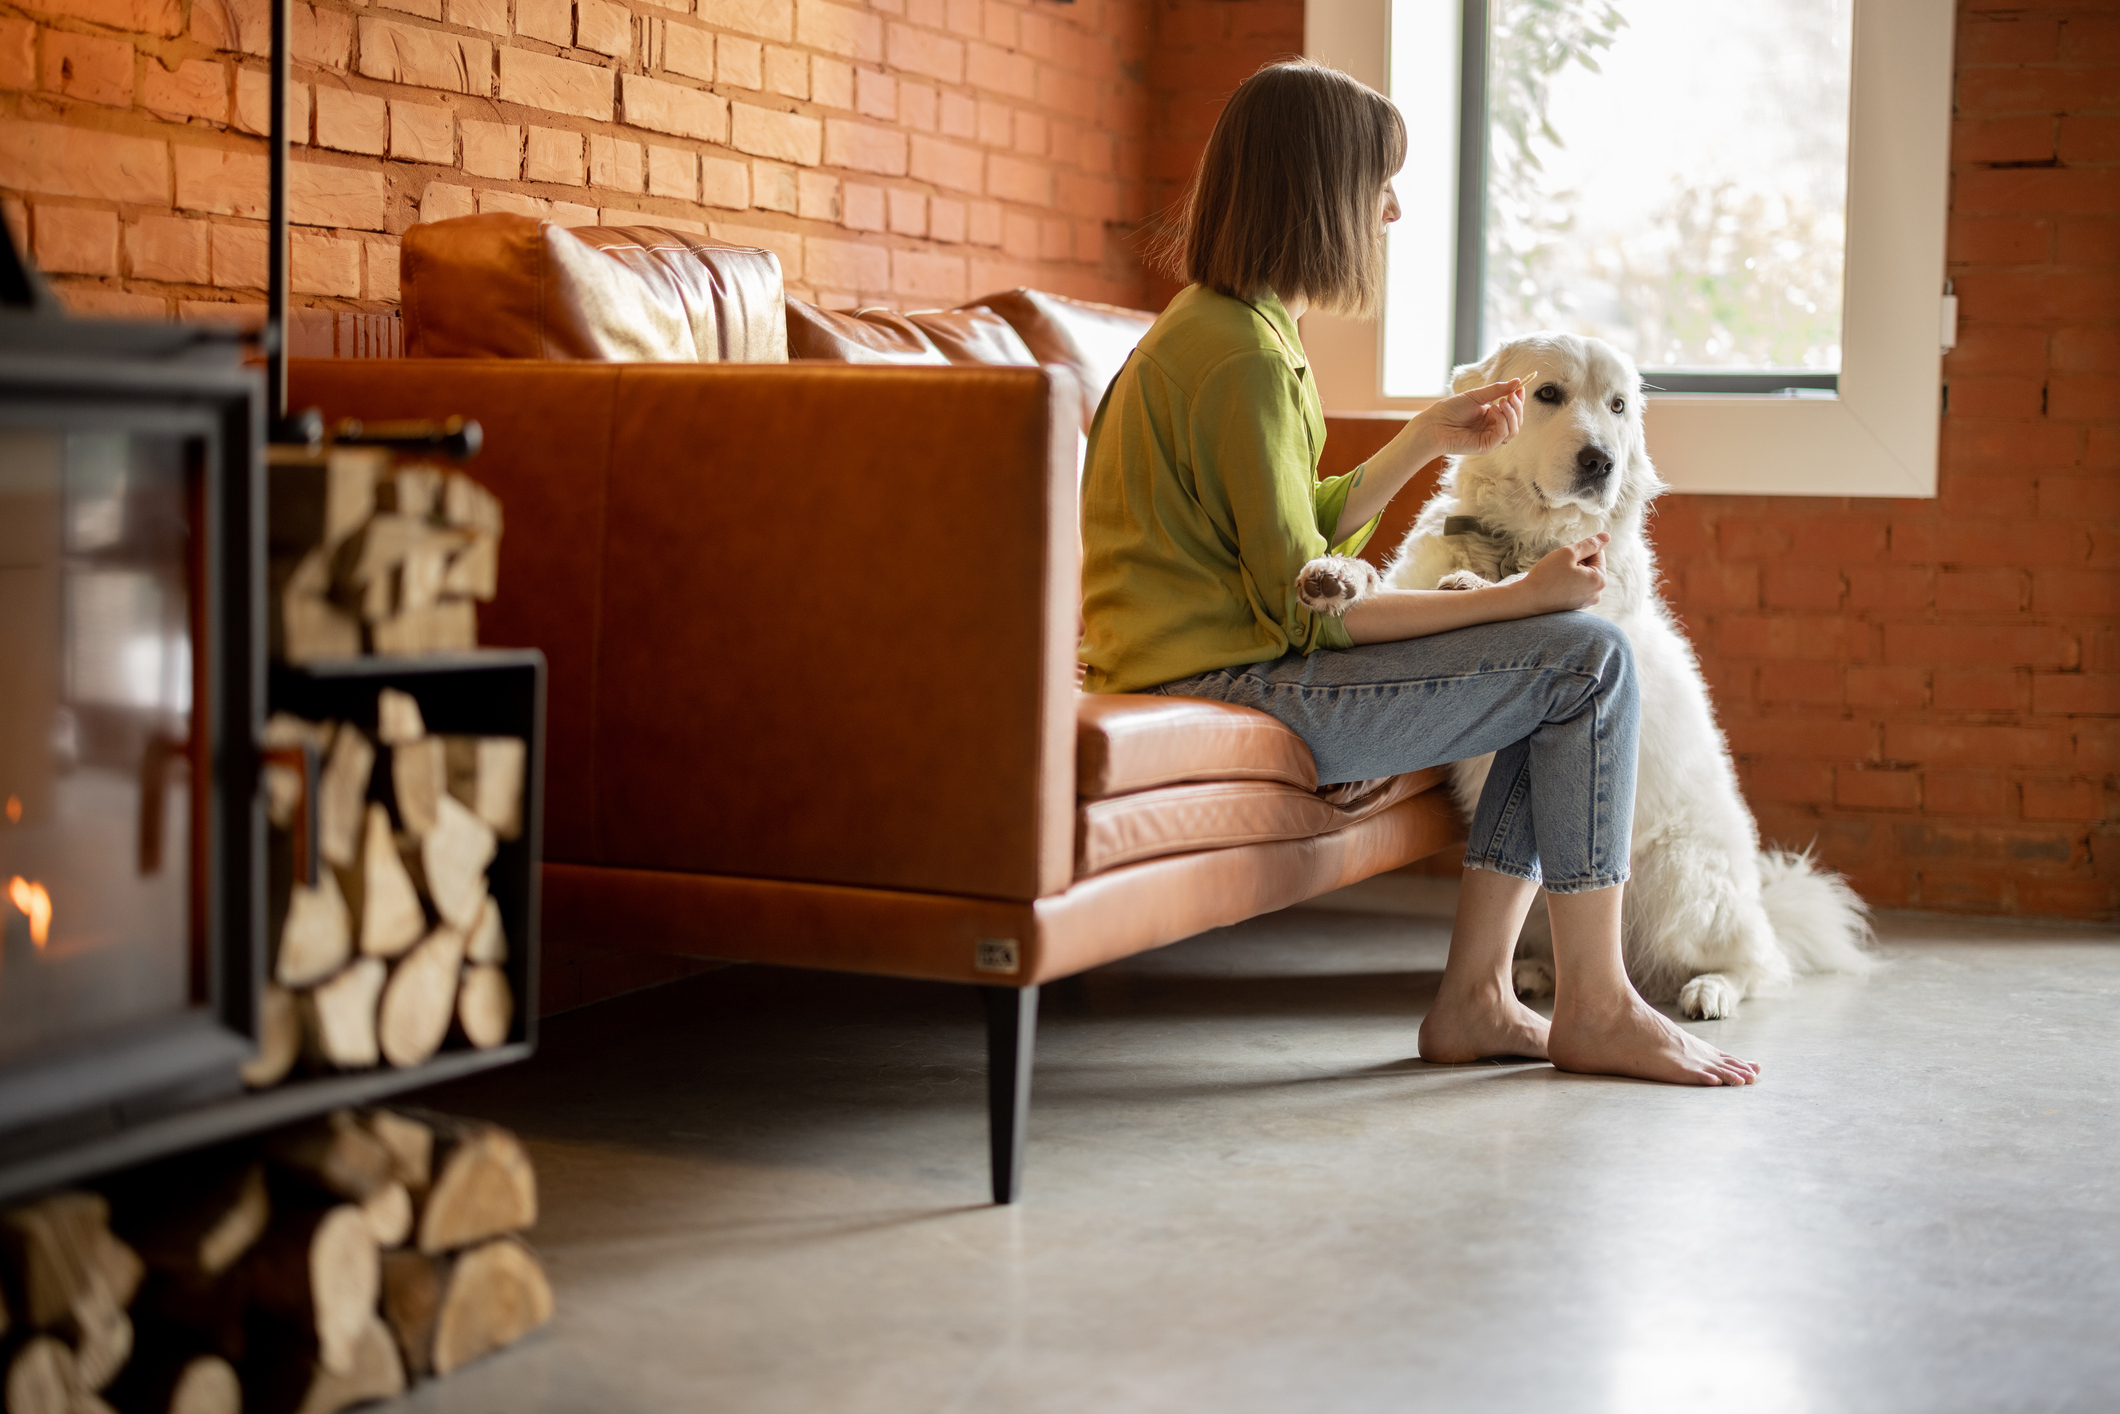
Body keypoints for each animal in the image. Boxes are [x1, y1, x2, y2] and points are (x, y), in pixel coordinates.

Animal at [1382, 334, 1865, 1017]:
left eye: (1617, 406)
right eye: (1547, 393)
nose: (1599, 462)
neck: (1524, 544)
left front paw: (1478, 586)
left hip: (1680, 880)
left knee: (1760, 964)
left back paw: (1711, 989)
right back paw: (1534, 973)